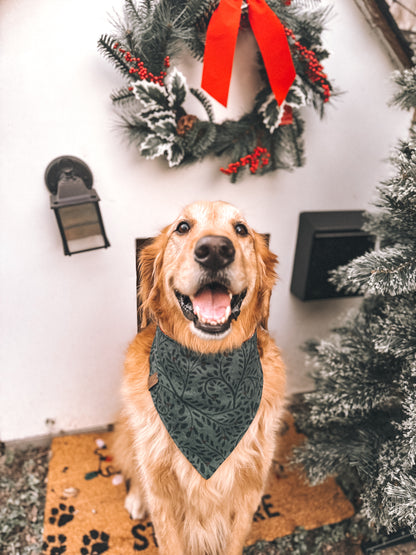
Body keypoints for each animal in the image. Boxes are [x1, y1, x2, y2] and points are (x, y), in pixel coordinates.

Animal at [114, 201, 284, 555]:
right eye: (182, 227)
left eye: (241, 229)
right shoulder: (162, 496)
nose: (216, 250)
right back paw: (136, 499)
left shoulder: (249, 490)